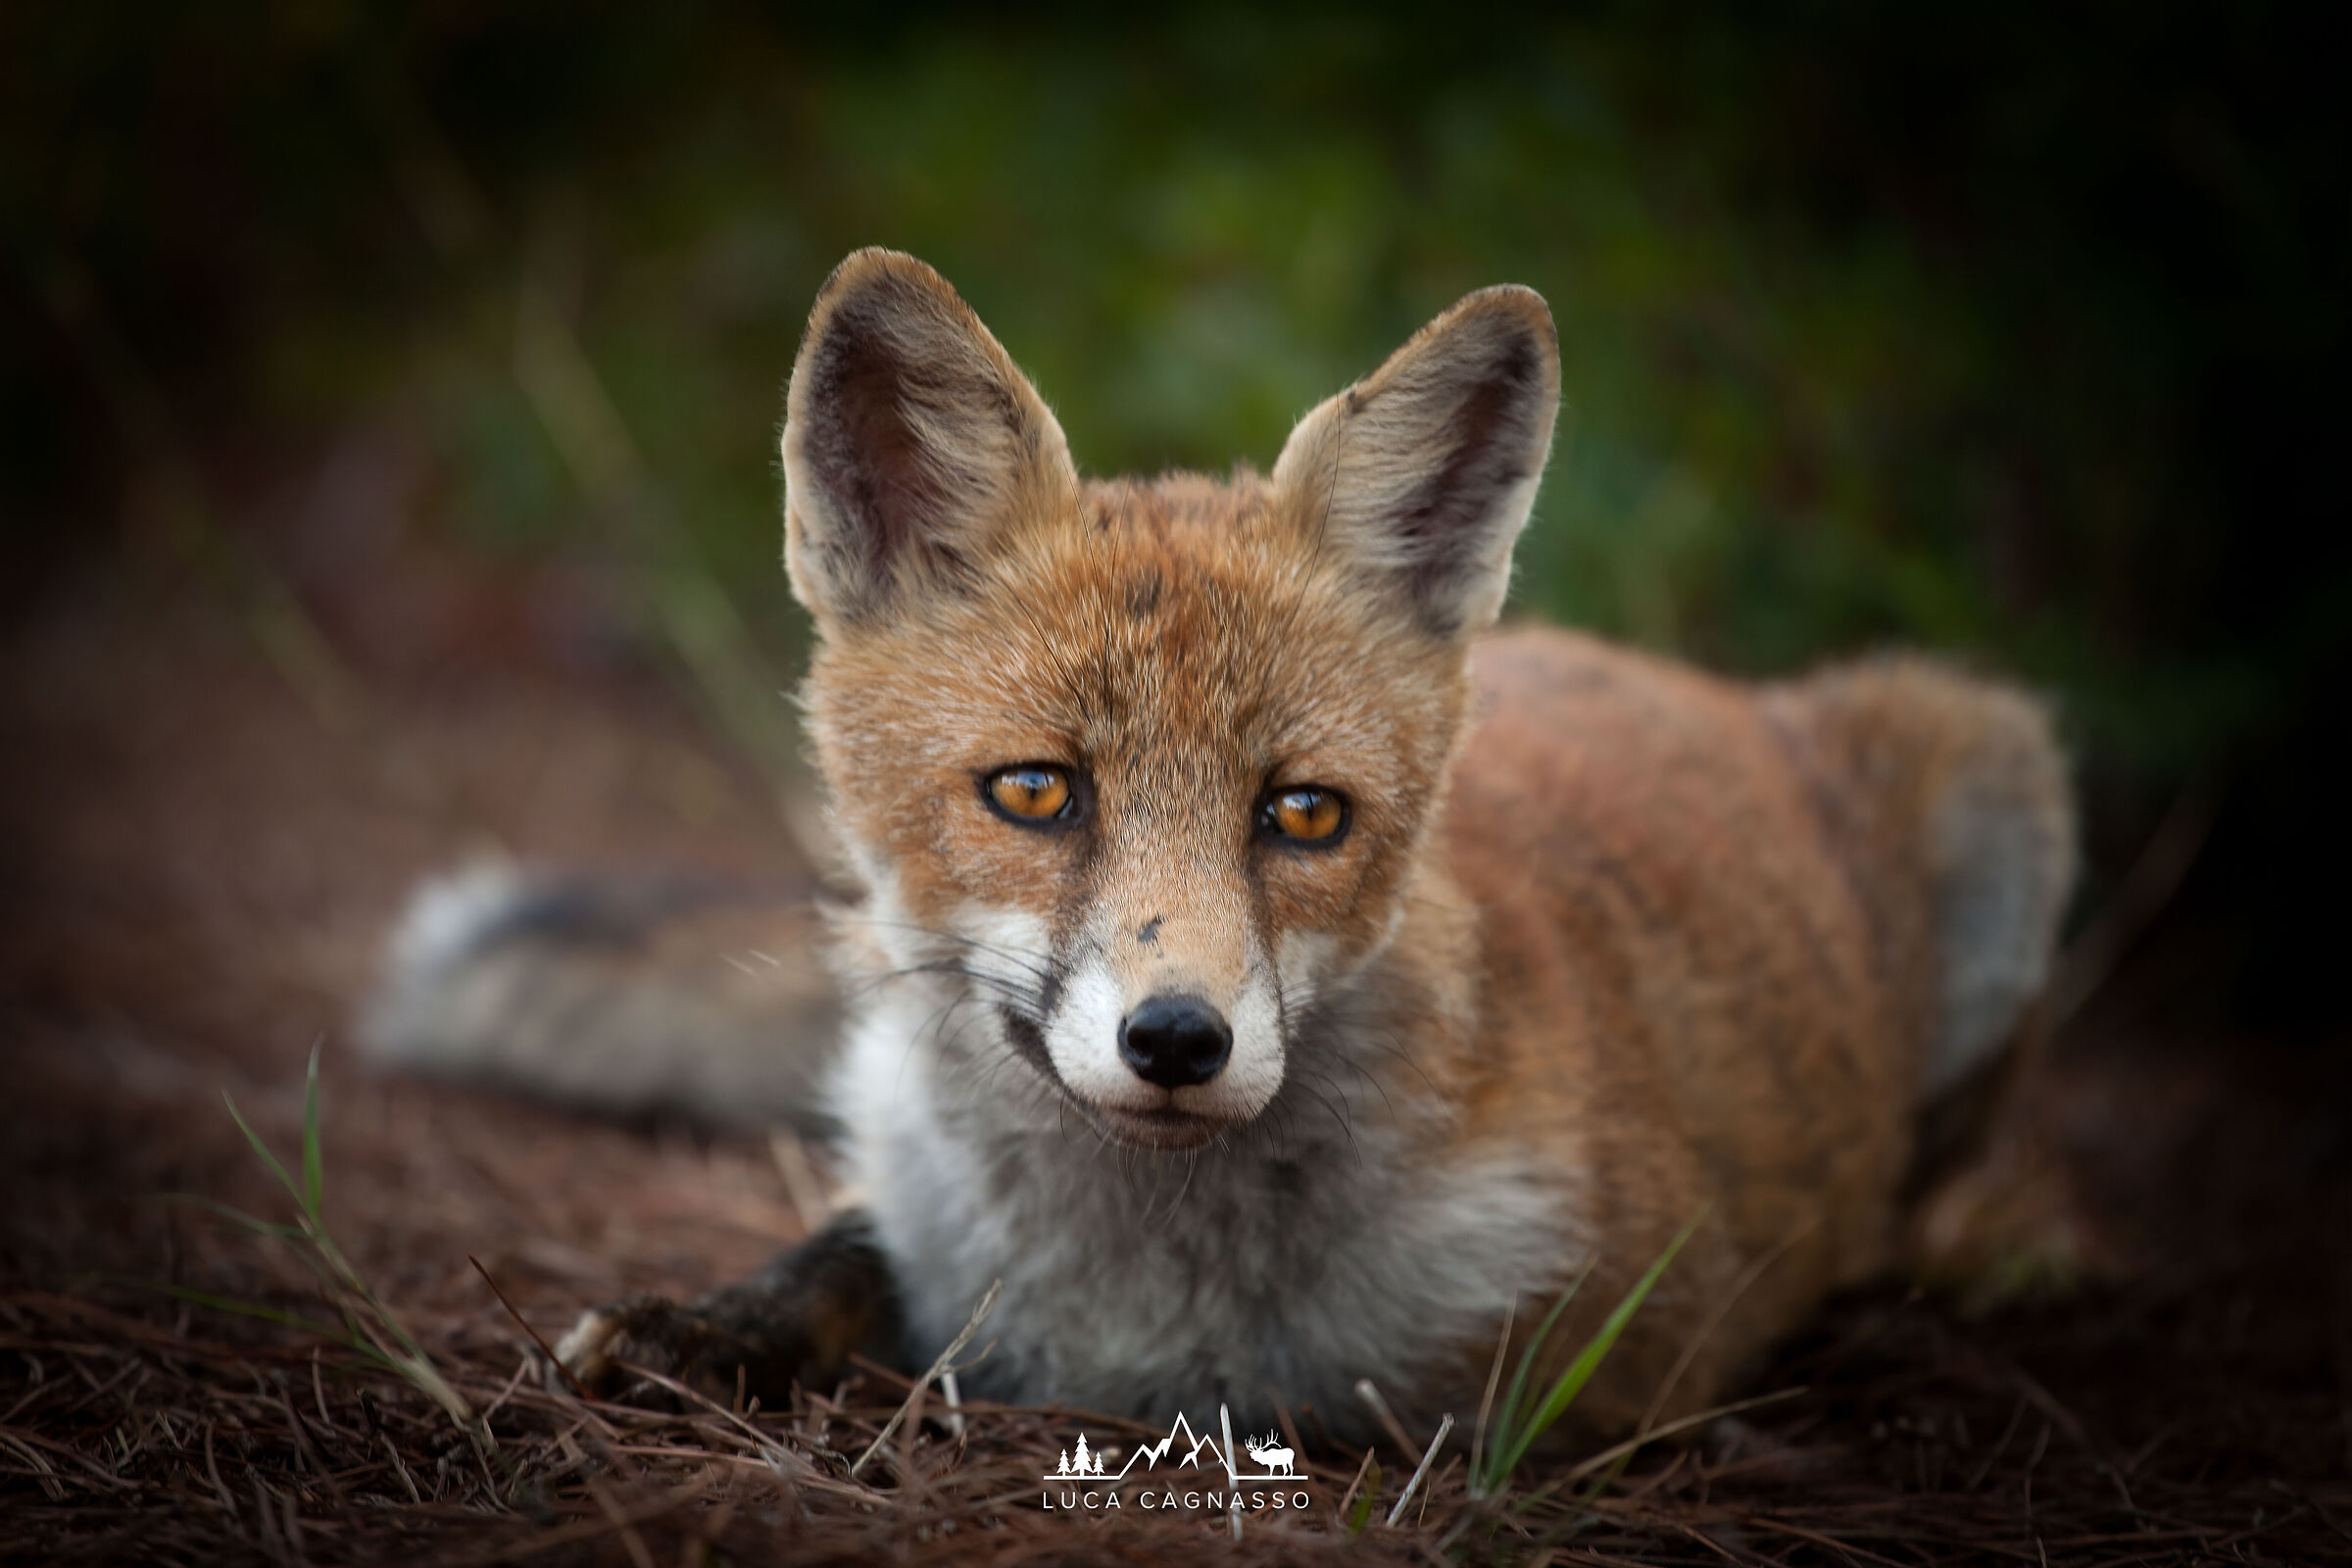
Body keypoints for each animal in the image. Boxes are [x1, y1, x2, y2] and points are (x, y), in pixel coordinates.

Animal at [363, 248, 2074, 1444]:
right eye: (1036, 793)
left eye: (1302, 813)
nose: (1179, 1040)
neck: (1136, 1288)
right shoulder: (921, 1235)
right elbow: (838, 1259)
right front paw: (705, 1329)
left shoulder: (1608, 1344)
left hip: (2003, 775)